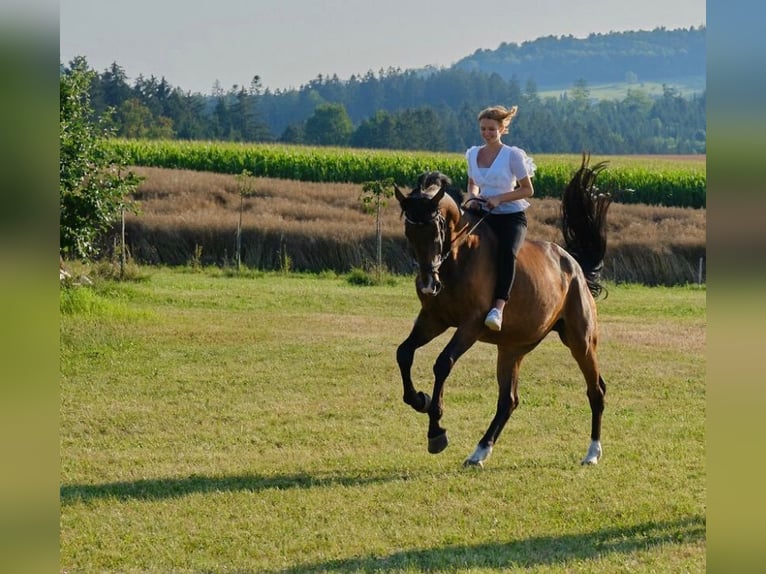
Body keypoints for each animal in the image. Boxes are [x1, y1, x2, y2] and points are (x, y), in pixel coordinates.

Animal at [396, 155, 612, 470]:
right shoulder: (433, 320)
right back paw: (479, 452)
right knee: (508, 400)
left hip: (581, 341)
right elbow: (403, 353)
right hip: (512, 348)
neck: (457, 257)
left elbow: (443, 363)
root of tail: (574, 265)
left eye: (435, 231)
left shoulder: (471, 325)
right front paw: (418, 399)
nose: (427, 285)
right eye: (409, 233)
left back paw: (592, 453)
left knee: (596, 391)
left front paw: (436, 430)